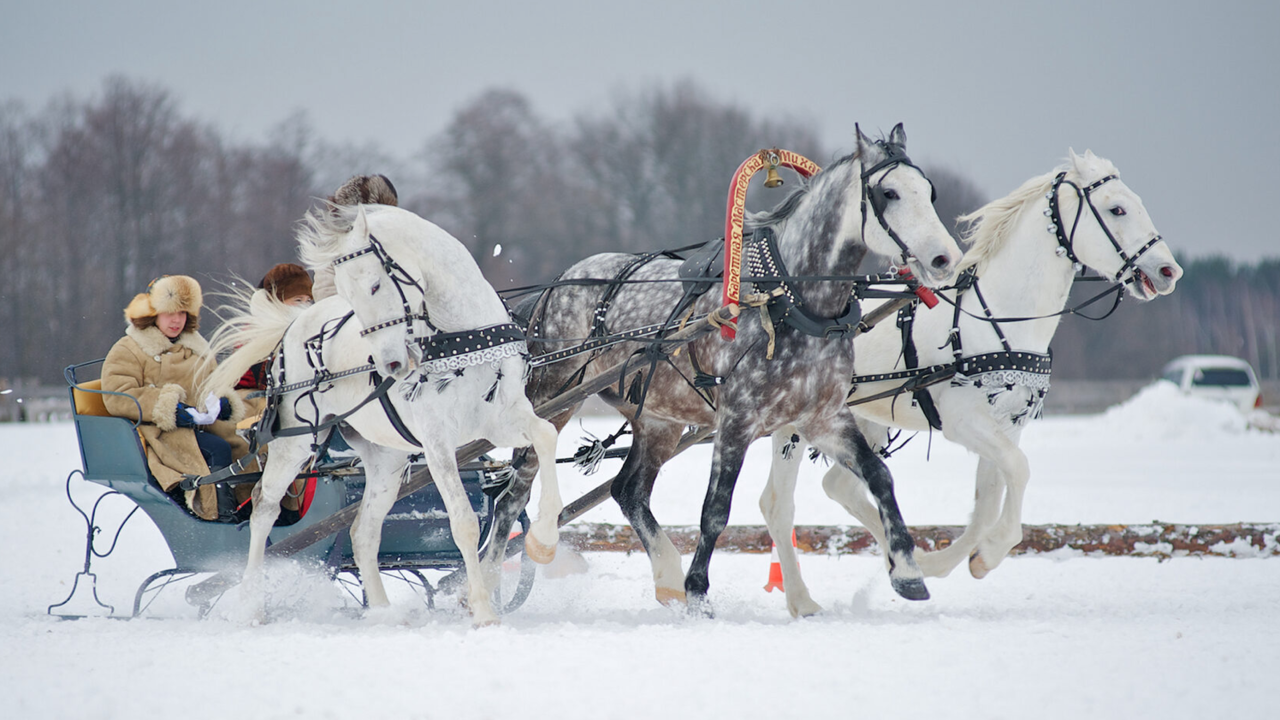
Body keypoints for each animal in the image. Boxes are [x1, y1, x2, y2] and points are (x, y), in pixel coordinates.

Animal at [207, 202, 563, 622]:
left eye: (375, 286)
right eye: (349, 294)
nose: (391, 365)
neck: (461, 338)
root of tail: (294, 325)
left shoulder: (501, 418)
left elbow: (546, 435)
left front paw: (544, 539)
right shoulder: (437, 441)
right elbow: (463, 522)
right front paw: (482, 609)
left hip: (387, 460)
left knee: (362, 532)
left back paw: (381, 612)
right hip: (295, 441)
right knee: (264, 508)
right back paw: (252, 604)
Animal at [762, 149, 1182, 617]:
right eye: (1117, 209)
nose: (1169, 270)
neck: (998, 314)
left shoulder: (1005, 424)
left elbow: (989, 500)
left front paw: (959, 560)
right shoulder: (963, 423)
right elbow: (1019, 469)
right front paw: (982, 553)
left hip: (866, 419)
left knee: (838, 487)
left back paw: (903, 558)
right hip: (794, 423)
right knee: (776, 505)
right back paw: (802, 600)